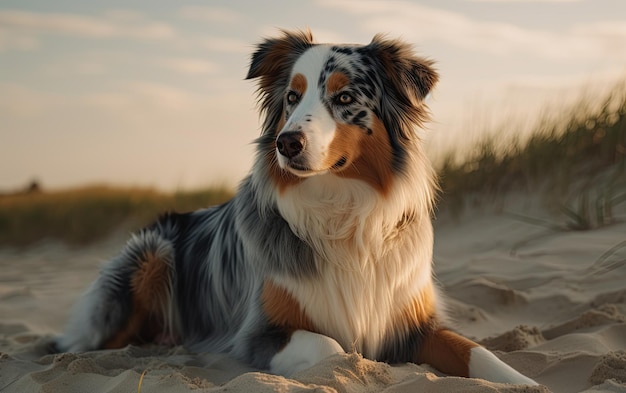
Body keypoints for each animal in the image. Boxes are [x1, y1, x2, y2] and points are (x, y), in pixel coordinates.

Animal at [56, 29, 536, 384]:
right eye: (291, 97)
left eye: (345, 98)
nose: (286, 143)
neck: (340, 208)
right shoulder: (258, 333)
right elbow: (333, 348)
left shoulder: (414, 322)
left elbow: (478, 352)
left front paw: (524, 380)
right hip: (148, 258)